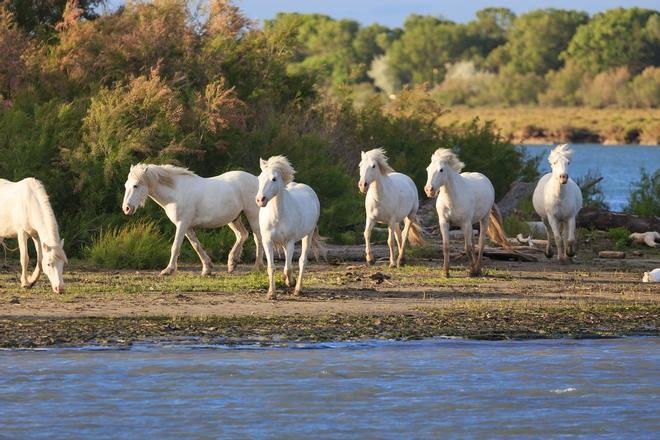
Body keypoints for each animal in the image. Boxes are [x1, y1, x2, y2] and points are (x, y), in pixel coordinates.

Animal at [122, 164, 262, 276]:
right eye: (125, 185)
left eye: (135, 186)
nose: (126, 208)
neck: (176, 194)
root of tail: (257, 180)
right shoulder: (188, 227)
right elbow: (196, 246)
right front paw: (207, 269)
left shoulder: (182, 224)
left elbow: (175, 246)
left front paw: (168, 270)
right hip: (234, 218)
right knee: (242, 235)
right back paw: (232, 263)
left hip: (253, 215)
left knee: (257, 239)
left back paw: (256, 268)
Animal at [256, 156, 320, 300]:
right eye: (259, 178)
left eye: (274, 179)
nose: (260, 199)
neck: (277, 216)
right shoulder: (267, 241)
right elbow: (271, 267)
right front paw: (271, 293)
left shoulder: (290, 242)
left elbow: (289, 267)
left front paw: (290, 282)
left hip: (308, 234)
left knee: (302, 261)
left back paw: (297, 289)